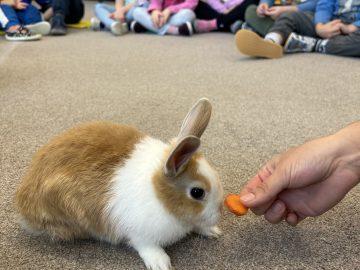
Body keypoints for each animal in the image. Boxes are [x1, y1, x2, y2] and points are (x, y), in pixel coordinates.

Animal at [15, 98, 224, 270]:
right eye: (197, 192)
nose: (219, 212)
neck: (159, 194)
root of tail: (23, 202)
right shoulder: (139, 234)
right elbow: (146, 246)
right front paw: (161, 264)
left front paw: (212, 231)